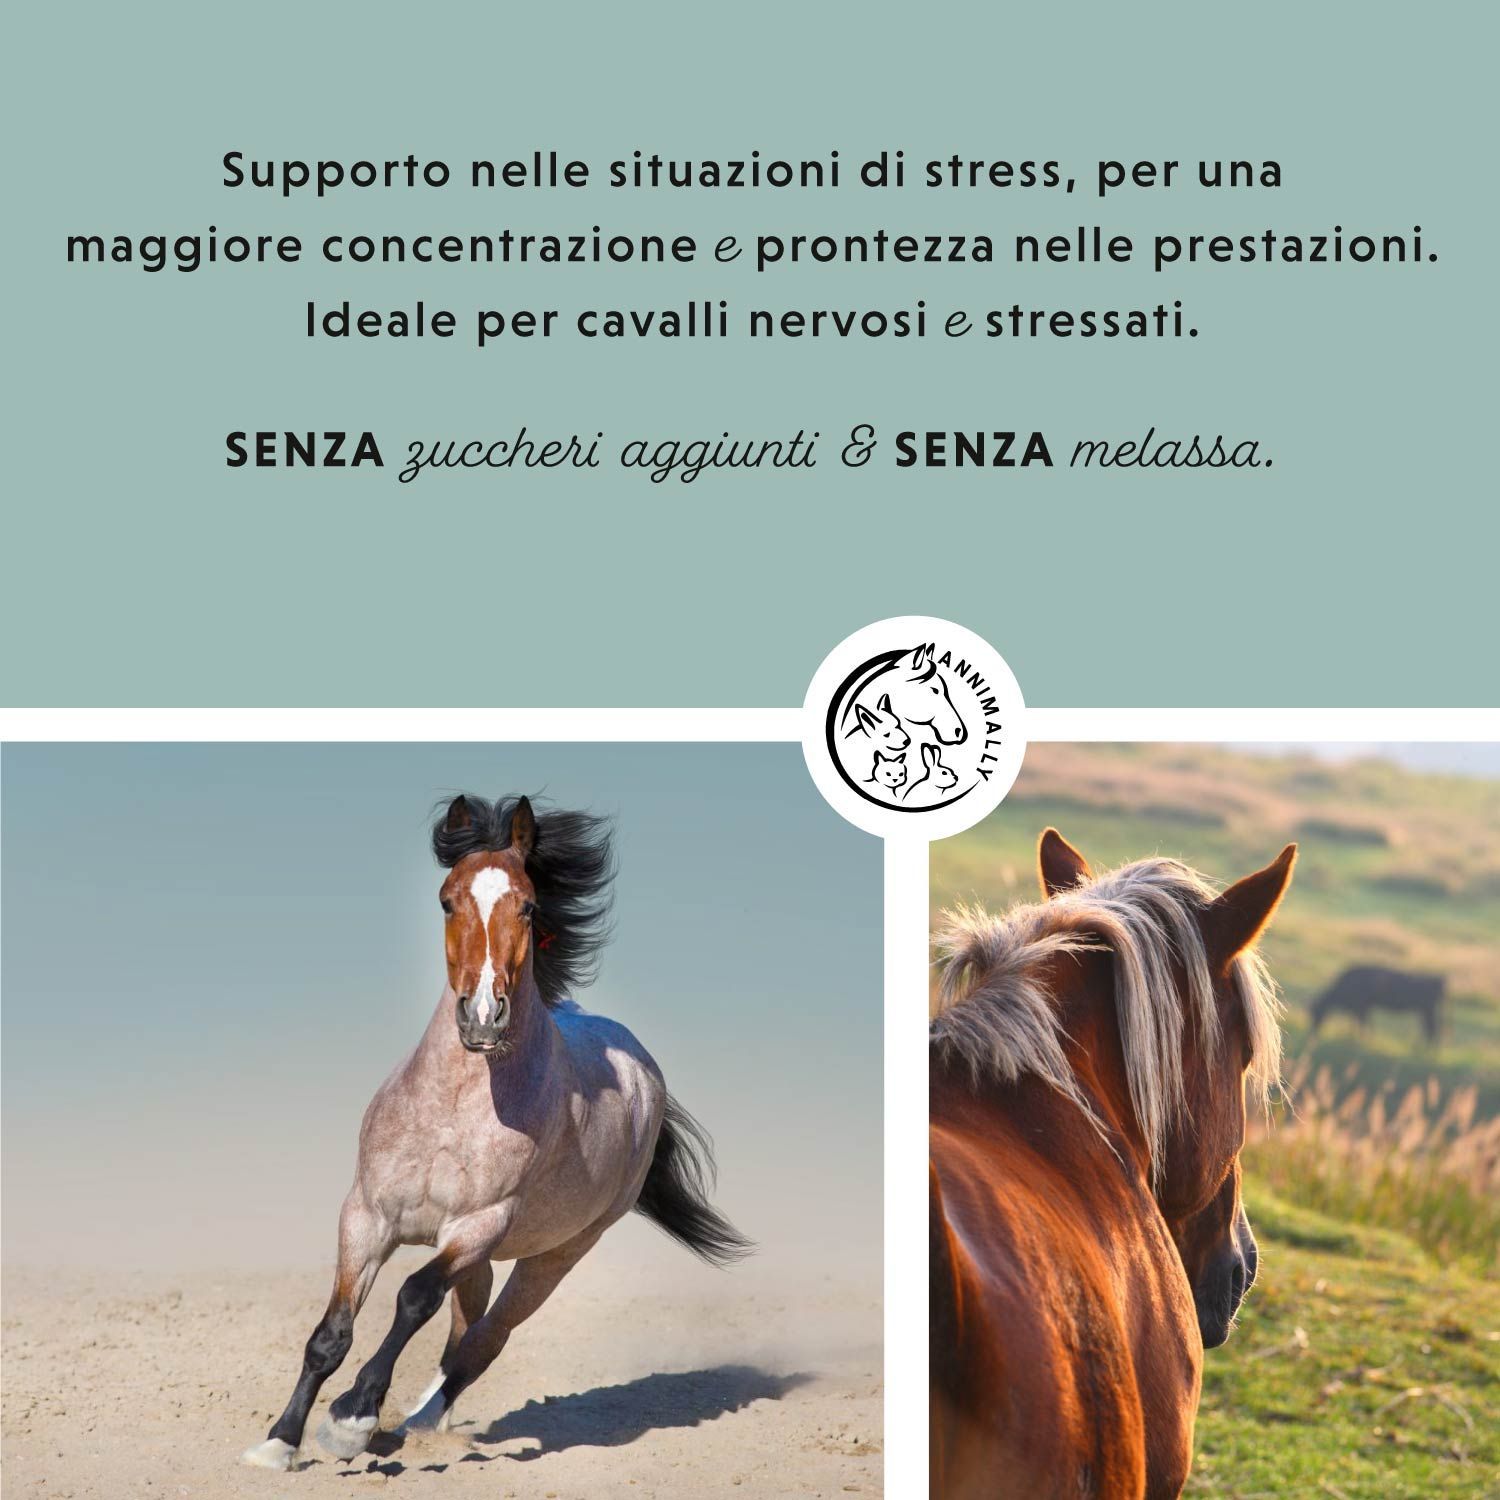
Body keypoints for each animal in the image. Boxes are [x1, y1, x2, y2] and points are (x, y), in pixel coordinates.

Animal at [242, 794, 751, 1471]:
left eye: (528, 904)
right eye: (446, 900)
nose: (483, 1016)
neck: (453, 1110)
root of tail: (644, 1071)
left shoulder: (477, 1225)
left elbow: (413, 1298)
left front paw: (351, 1419)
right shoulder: (367, 1216)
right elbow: (332, 1334)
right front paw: (279, 1442)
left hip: (555, 1255)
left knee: (485, 1340)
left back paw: (414, 1423)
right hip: (481, 1261)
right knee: (464, 1332)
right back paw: (412, 1423)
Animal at [1309, 965, 1445, 1044]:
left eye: (1316, 1013)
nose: (1313, 1031)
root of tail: (1437, 979)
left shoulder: (1359, 1006)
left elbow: (1361, 1022)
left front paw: (1359, 1038)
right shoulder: (1364, 1007)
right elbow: (1363, 1023)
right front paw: (1362, 1038)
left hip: (1427, 1011)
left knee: (1433, 1029)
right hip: (1425, 1012)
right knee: (1430, 1029)